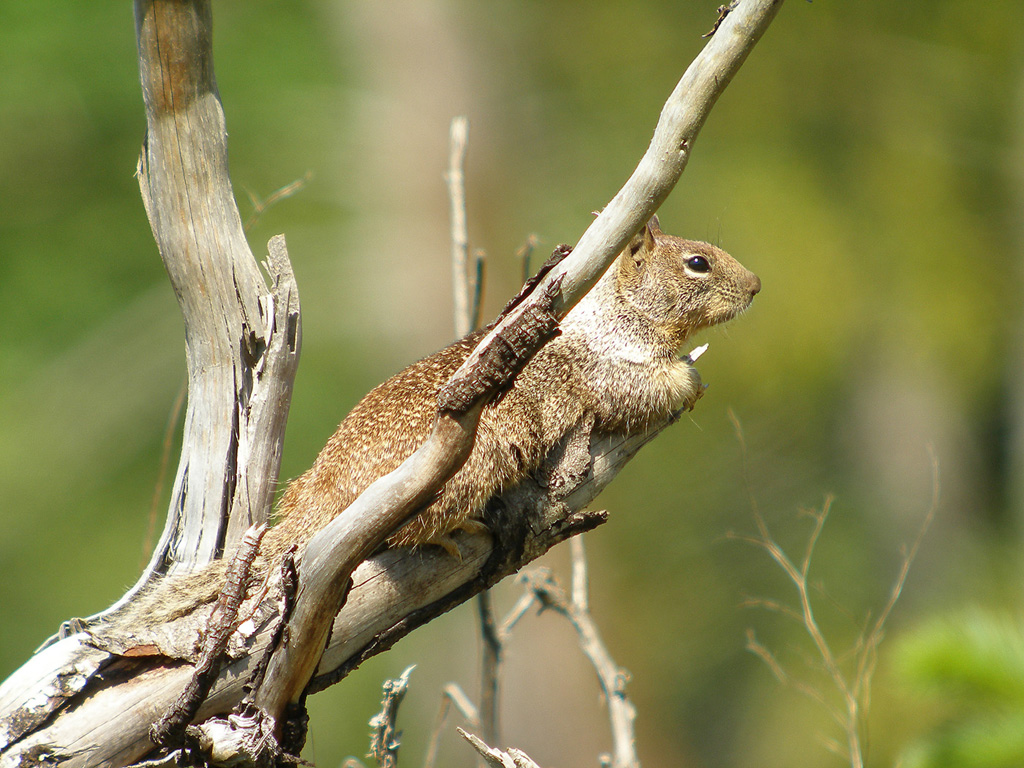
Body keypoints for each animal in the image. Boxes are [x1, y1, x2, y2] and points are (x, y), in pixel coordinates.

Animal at [100, 216, 759, 635]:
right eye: (697, 263)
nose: (756, 285)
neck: (615, 315)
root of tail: (322, 499)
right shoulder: (605, 373)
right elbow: (642, 392)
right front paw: (687, 382)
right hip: (474, 462)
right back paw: (451, 531)